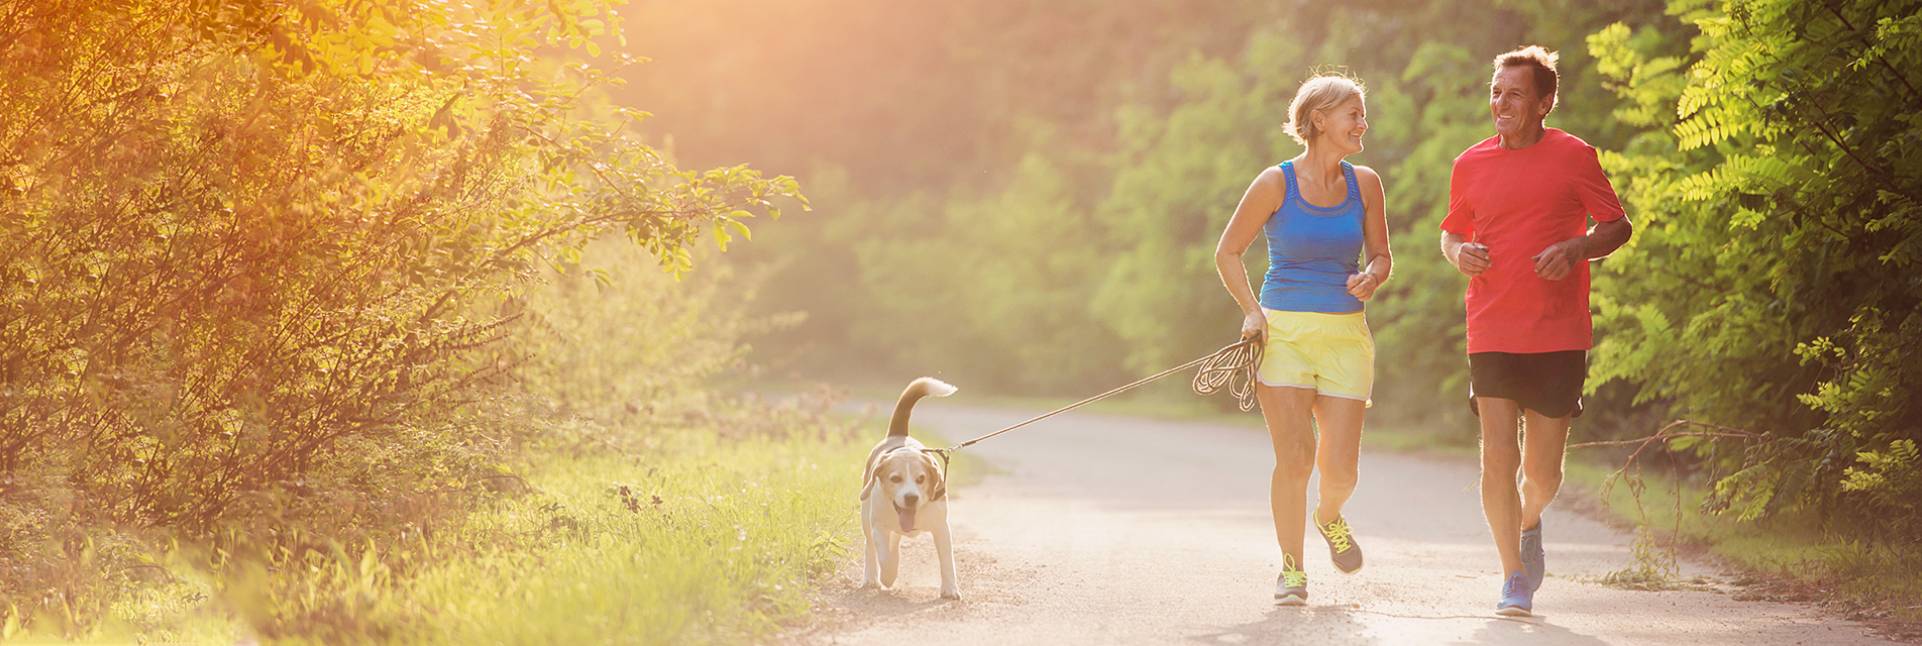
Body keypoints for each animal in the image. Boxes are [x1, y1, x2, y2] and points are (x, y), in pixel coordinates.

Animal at [864, 376, 961, 599]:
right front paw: (887, 577)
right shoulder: (878, 527)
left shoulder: (942, 529)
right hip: (865, 518)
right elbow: (884, 557)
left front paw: (950, 589)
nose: (911, 498)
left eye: (921, 478)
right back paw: (871, 578)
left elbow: (947, 562)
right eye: (895, 478)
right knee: (870, 549)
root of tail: (899, 435)